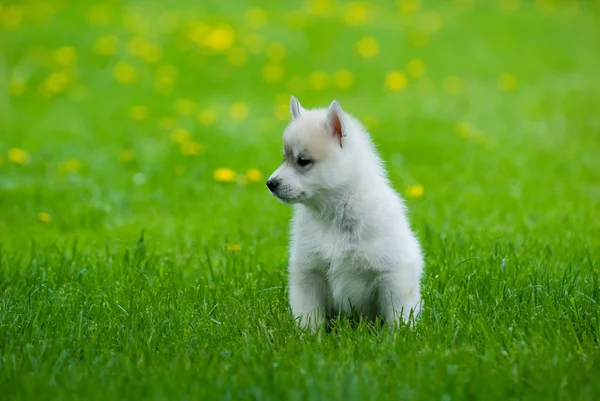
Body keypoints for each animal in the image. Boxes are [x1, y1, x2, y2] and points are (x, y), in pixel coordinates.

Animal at [264, 96, 424, 328]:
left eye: (303, 161)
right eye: (284, 157)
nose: (270, 183)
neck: (335, 213)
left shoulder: (393, 274)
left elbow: (398, 315)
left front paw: (400, 335)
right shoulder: (309, 272)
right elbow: (308, 316)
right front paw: (308, 336)